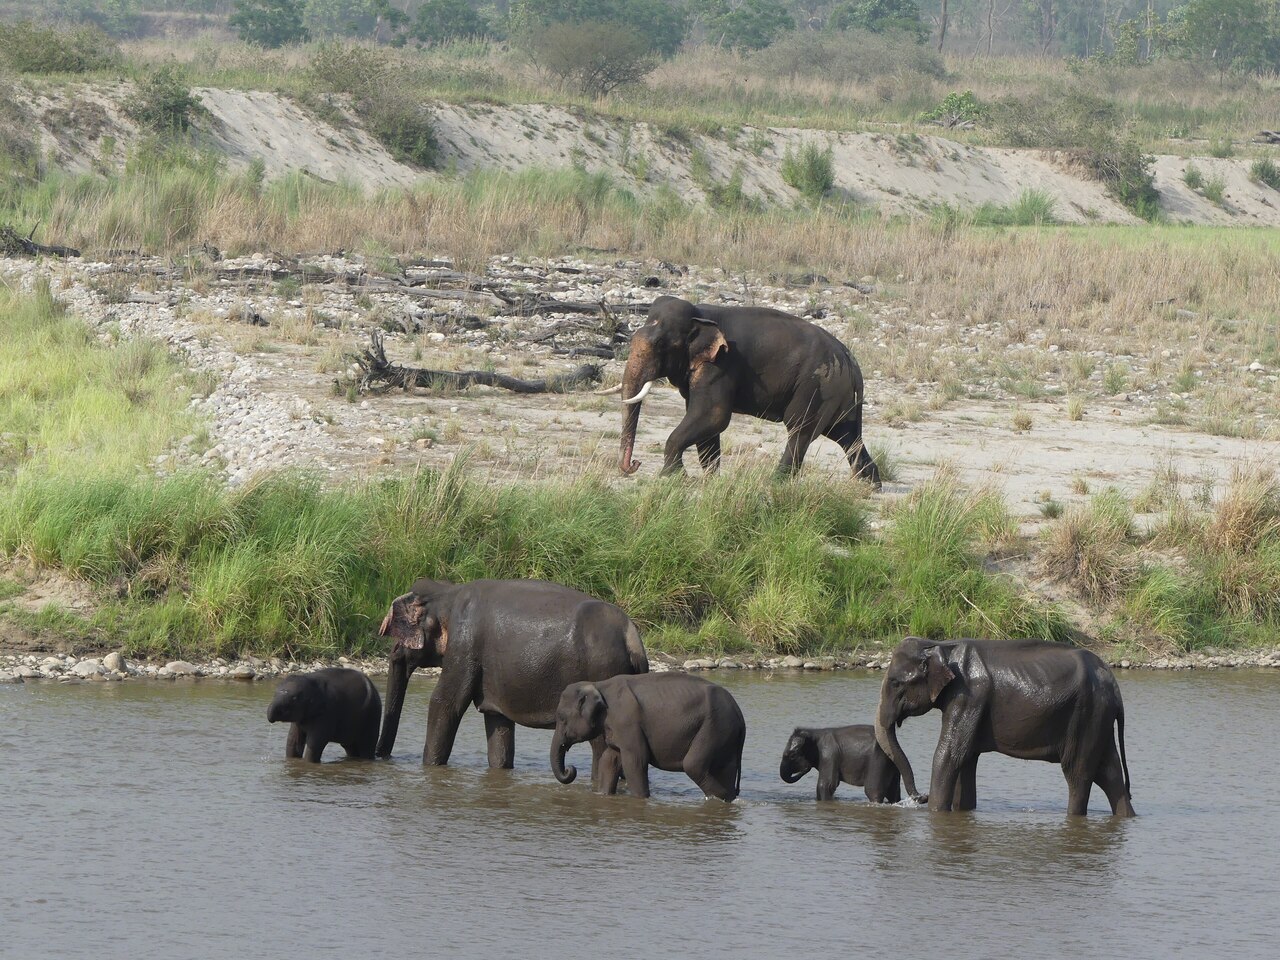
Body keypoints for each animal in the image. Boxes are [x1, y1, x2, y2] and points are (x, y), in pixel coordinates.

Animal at [375, 577, 649, 783]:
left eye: (398, 638)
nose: (382, 758)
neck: (447, 593)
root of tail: (632, 638)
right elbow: (497, 723)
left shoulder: (464, 645)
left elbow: (445, 703)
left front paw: (430, 768)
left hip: (603, 671)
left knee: (601, 747)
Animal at [551, 673, 746, 802]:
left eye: (562, 718)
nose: (570, 769)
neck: (598, 685)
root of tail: (739, 713)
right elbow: (610, 759)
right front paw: (603, 795)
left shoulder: (627, 722)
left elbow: (635, 761)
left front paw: (641, 800)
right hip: (726, 736)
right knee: (724, 769)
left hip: (714, 727)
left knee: (693, 765)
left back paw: (720, 799)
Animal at [604, 295, 879, 485]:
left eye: (661, 344)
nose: (635, 464)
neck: (699, 315)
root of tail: (852, 363)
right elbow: (706, 422)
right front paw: (711, 479)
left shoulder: (723, 364)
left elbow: (713, 414)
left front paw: (673, 477)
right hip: (840, 395)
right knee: (847, 436)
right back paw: (869, 484)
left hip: (818, 386)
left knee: (800, 430)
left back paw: (776, 481)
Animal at [874, 636, 1135, 816]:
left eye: (895, 683)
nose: (921, 797)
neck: (941, 646)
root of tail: (1115, 688)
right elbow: (966, 759)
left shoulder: (968, 697)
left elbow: (949, 755)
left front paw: (936, 813)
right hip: (1098, 718)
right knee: (1109, 773)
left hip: (1087, 715)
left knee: (1078, 774)